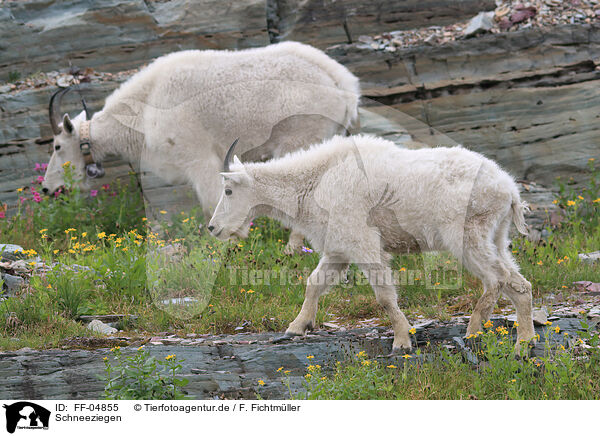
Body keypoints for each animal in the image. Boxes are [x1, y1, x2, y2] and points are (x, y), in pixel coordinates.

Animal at [44, 42, 360, 254]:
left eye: (58, 146)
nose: (47, 189)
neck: (143, 109)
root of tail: (343, 85)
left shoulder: (198, 157)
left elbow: (211, 201)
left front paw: (228, 243)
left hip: (301, 136)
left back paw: (292, 248)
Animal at [207, 135, 536, 352]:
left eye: (228, 190)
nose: (213, 228)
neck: (314, 181)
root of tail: (509, 190)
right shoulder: (338, 247)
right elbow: (314, 282)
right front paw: (296, 327)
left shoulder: (363, 241)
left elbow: (384, 296)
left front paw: (402, 341)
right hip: (495, 236)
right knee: (519, 284)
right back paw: (524, 342)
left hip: (466, 234)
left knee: (496, 279)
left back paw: (474, 329)